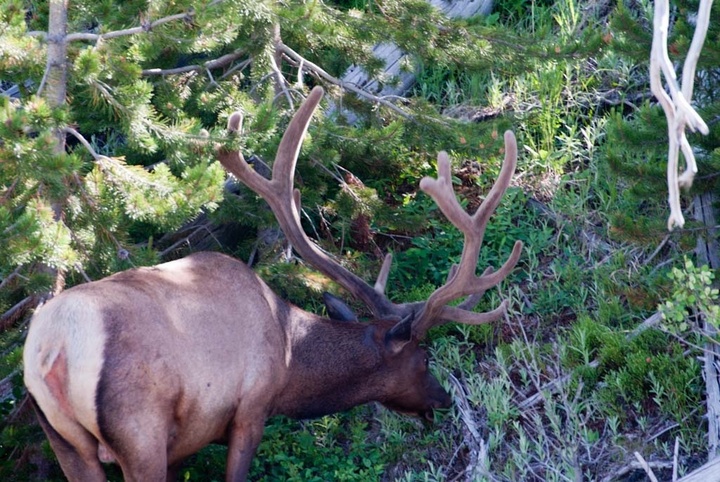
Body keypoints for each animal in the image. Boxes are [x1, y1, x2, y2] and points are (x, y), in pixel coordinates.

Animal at [23, 86, 523, 482]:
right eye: (423, 358)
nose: (442, 400)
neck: (288, 358)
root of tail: (53, 348)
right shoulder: (250, 410)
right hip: (138, 431)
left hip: (65, 442)